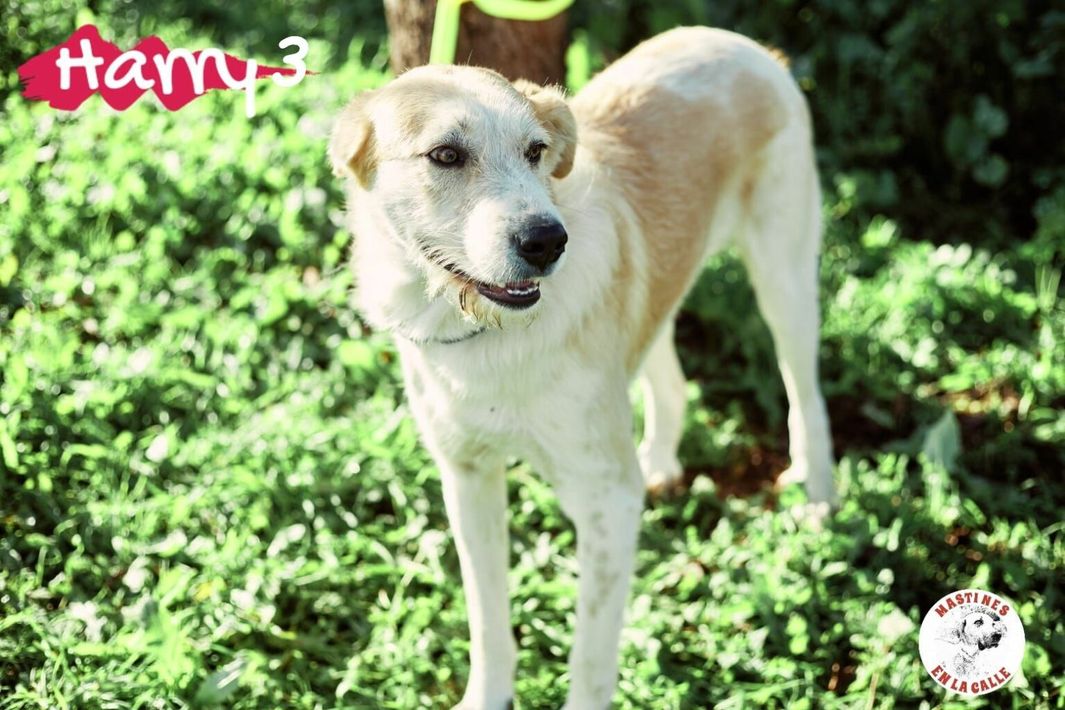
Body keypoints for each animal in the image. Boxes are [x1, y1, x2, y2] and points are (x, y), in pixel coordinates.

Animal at [329, 26, 836, 709]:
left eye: (536, 151)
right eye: (446, 155)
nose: (548, 241)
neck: (491, 338)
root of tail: (741, 43)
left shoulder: (606, 504)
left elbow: (590, 655)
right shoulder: (467, 477)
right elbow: (488, 620)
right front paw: (488, 696)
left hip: (784, 280)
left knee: (806, 392)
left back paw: (818, 496)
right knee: (671, 377)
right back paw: (661, 464)